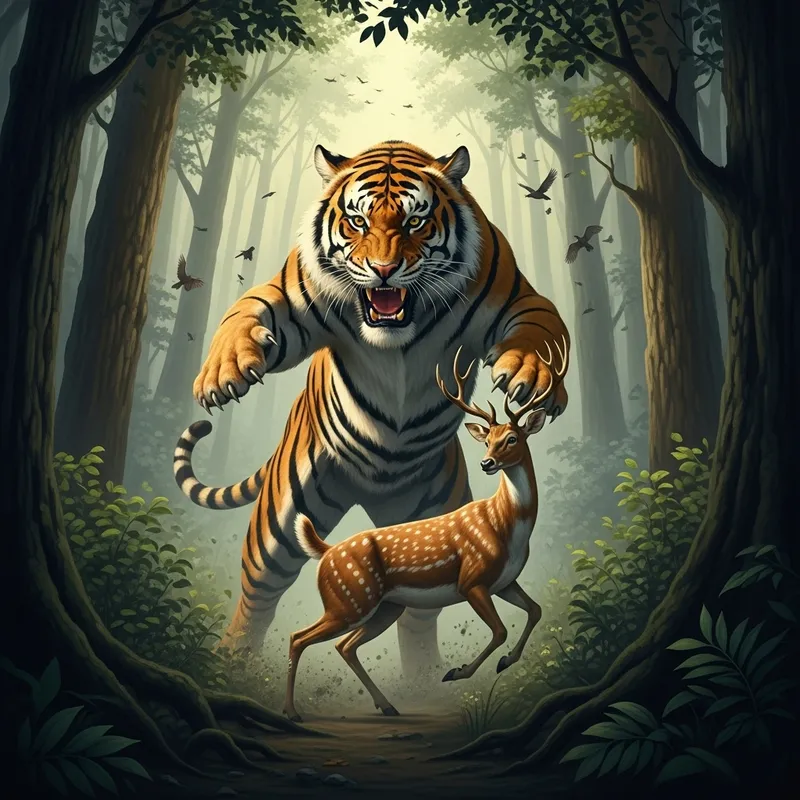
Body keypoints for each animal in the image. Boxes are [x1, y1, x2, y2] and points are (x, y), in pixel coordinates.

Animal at [173, 140, 570, 674]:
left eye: (415, 221)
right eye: (358, 222)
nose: (384, 270)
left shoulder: (519, 298)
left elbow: (544, 331)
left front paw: (532, 376)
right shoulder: (289, 296)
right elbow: (245, 308)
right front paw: (224, 372)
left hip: (429, 511)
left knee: (417, 621)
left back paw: (423, 682)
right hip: (279, 525)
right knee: (257, 598)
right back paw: (233, 665)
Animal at [282, 337, 568, 722]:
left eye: (512, 438)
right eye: (486, 440)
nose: (486, 463)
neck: (508, 526)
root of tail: (326, 552)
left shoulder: (505, 581)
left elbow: (534, 611)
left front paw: (506, 662)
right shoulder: (471, 579)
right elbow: (498, 630)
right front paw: (457, 672)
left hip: (385, 606)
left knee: (345, 645)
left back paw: (388, 706)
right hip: (347, 600)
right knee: (299, 637)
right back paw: (292, 712)